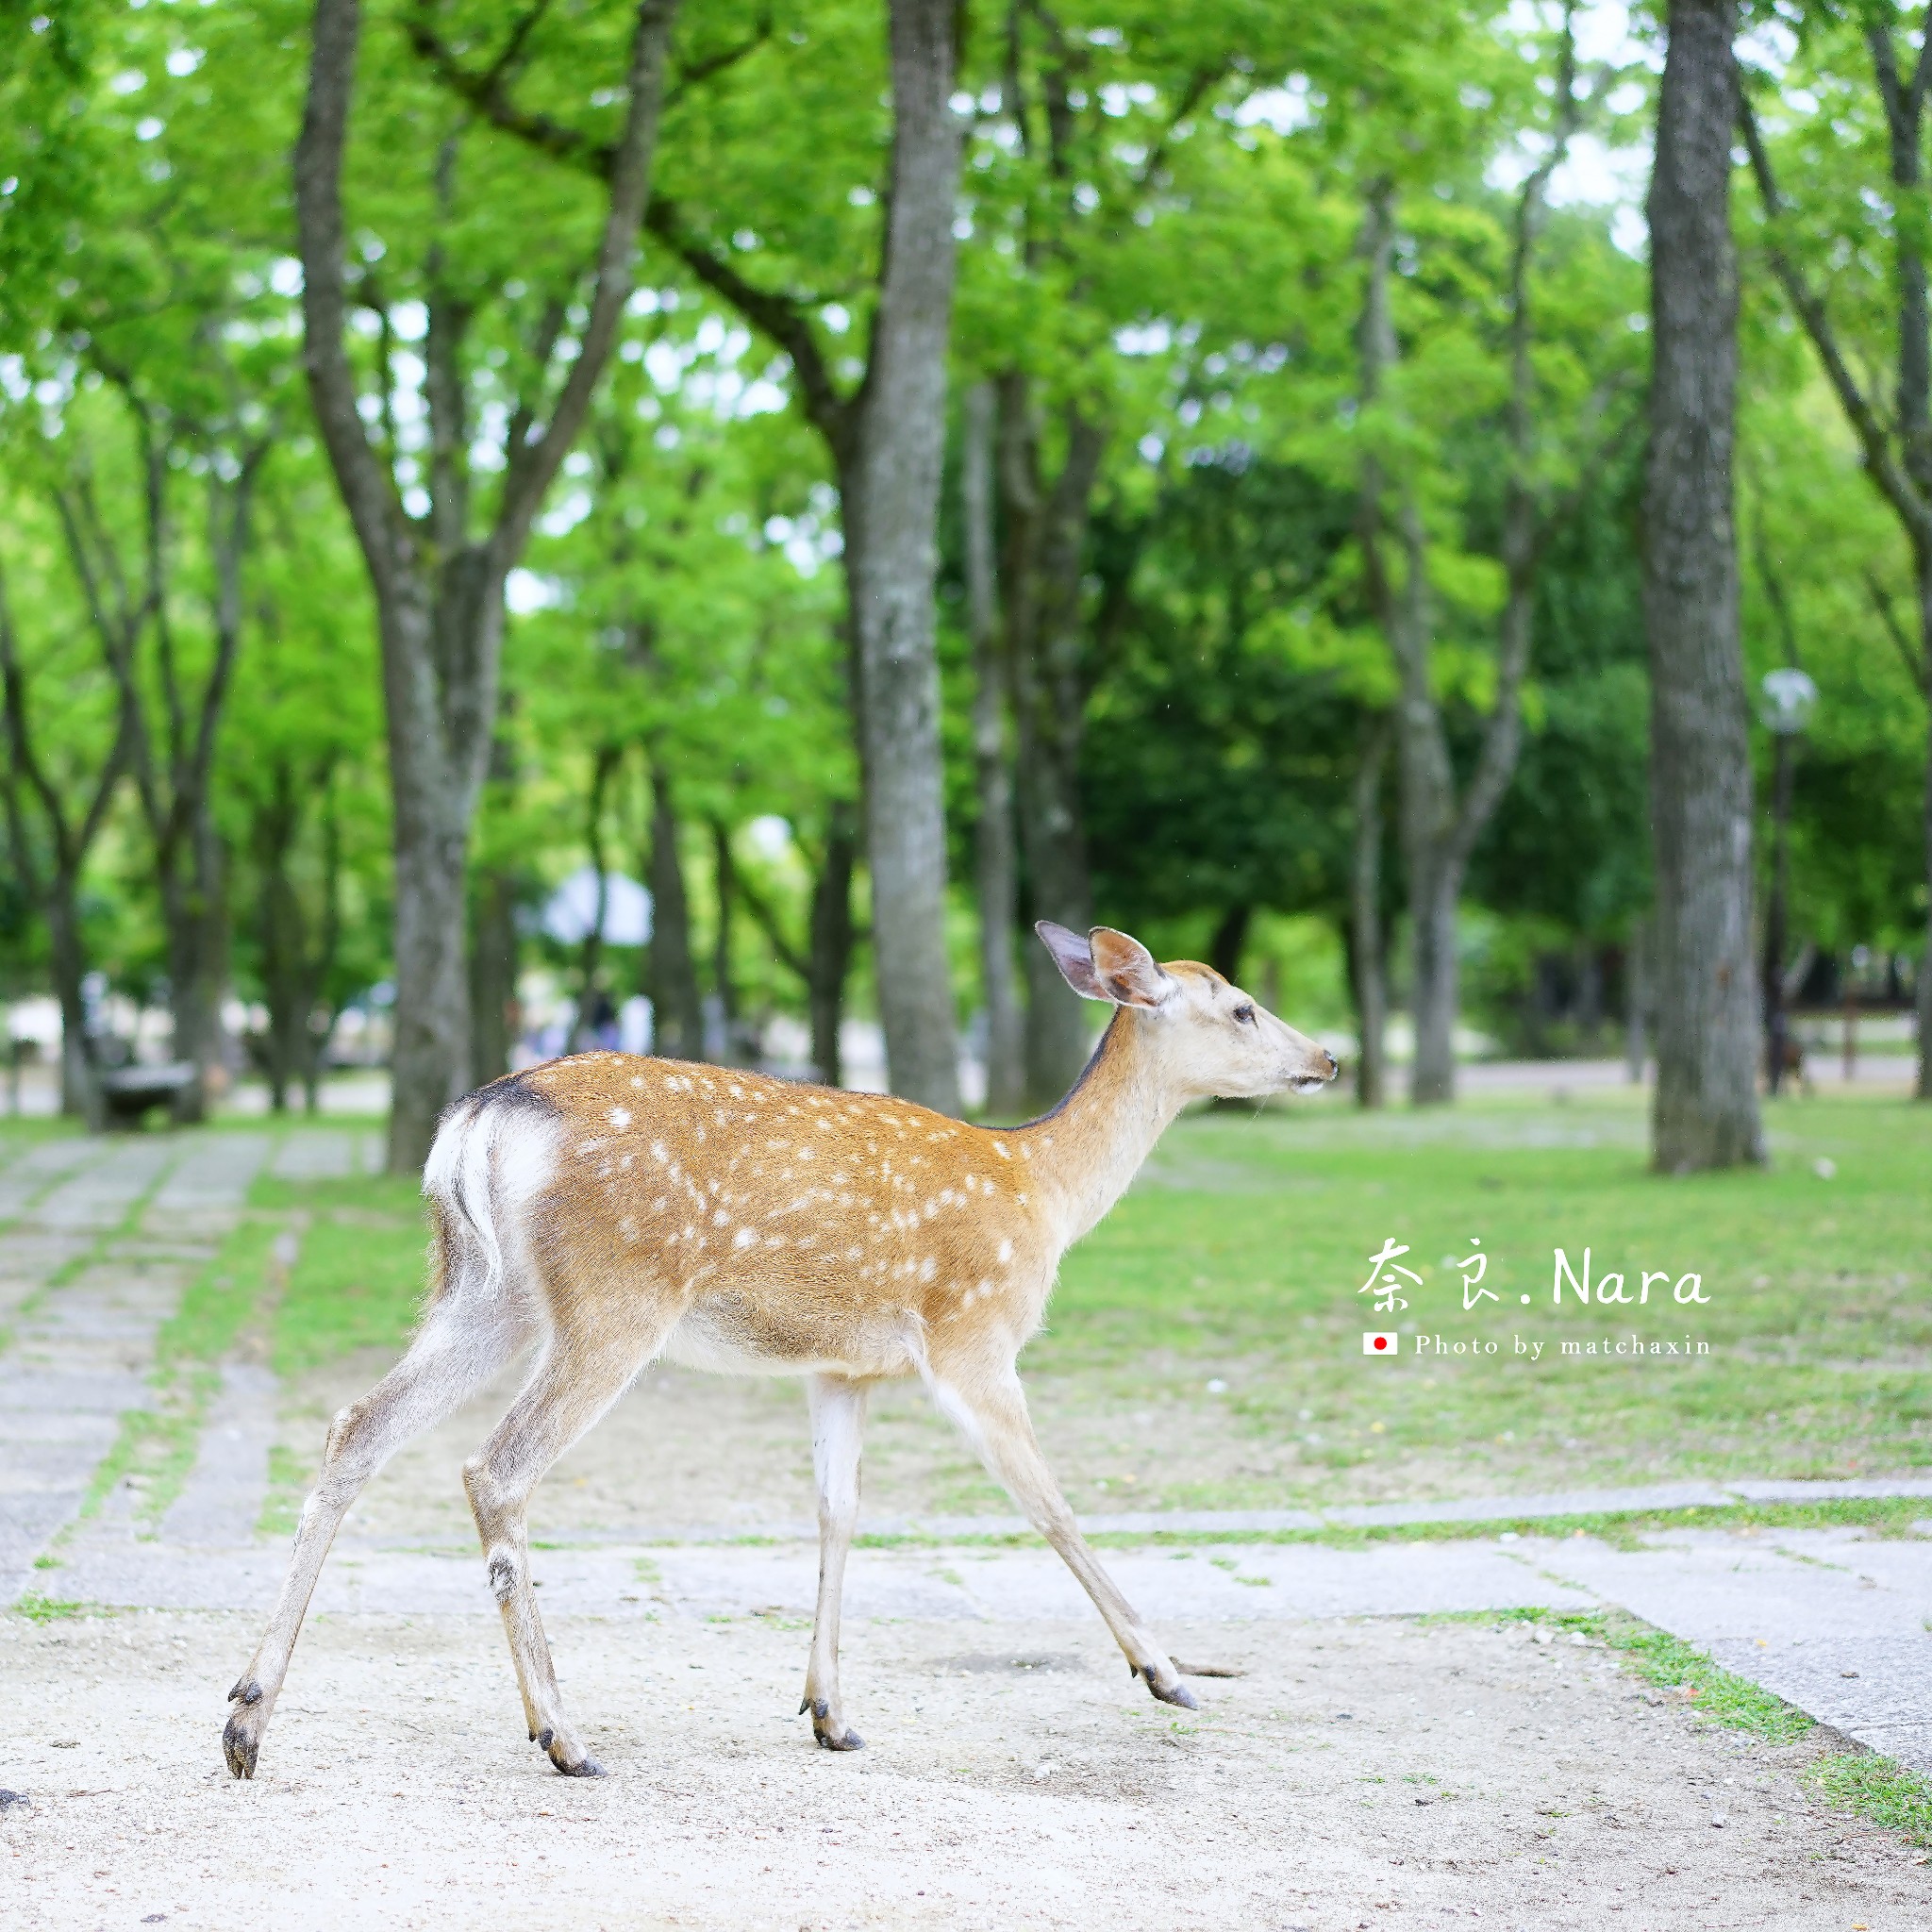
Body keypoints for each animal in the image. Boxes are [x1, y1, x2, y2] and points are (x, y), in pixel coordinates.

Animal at [219, 923, 1337, 1777]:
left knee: (356, 1428)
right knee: (495, 1465)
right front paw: (1168, 1673)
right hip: (612, 1301)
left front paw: (831, 1713)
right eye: (1240, 1007)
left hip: (480, 1291)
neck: (1044, 1190)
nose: (1328, 1058)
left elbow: (838, 1512)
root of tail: (479, 1122)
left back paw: (246, 1717)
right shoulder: (973, 1333)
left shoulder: (841, 1368)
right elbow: (1048, 1502)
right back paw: (563, 1735)